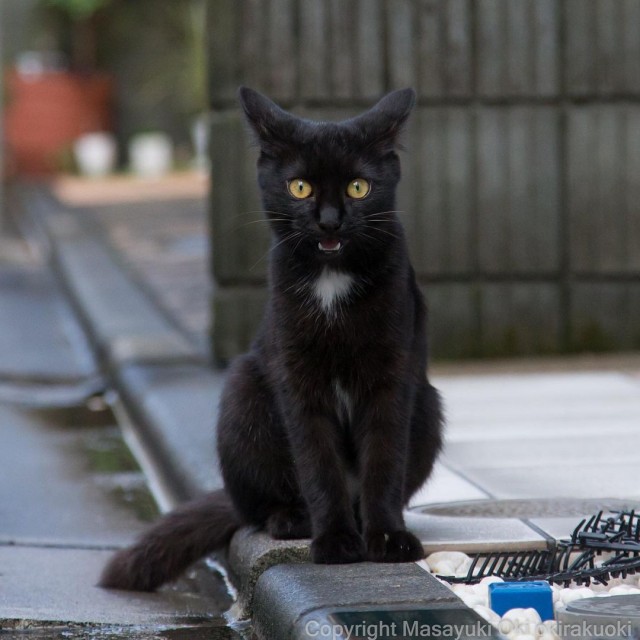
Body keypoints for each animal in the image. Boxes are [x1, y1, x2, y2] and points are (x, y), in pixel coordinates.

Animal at [101, 87, 444, 592]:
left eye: (358, 187)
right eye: (299, 187)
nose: (329, 221)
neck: (331, 281)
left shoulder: (394, 373)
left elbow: (384, 456)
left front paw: (387, 539)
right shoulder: (296, 376)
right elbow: (317, 463)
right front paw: (335, 542)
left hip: (427, 401)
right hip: (244, 391)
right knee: (256, 509)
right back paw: (293, 519)